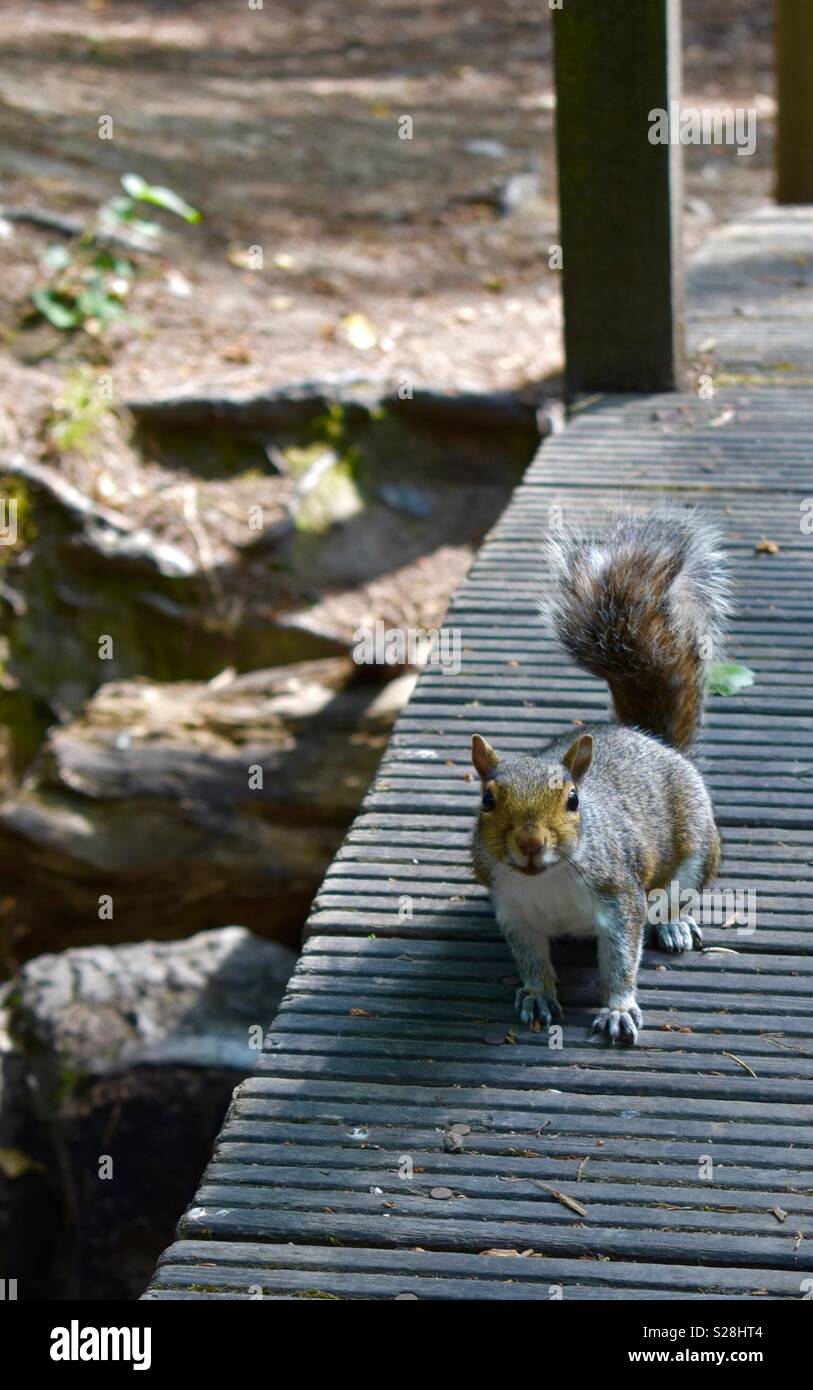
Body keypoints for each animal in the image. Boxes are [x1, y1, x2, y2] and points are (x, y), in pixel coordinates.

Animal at [469, 508, 728, 1045]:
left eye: (573, 799)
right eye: (487, 800)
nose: (530, 843)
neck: (547, 879)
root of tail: (651, 739)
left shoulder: (620, 898)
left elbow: (621, 961)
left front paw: (618, 1009)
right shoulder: (514, 914)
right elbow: (530, 962)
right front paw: (537, 995)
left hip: (696, 845)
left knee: (678, 894)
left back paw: (673, 925)